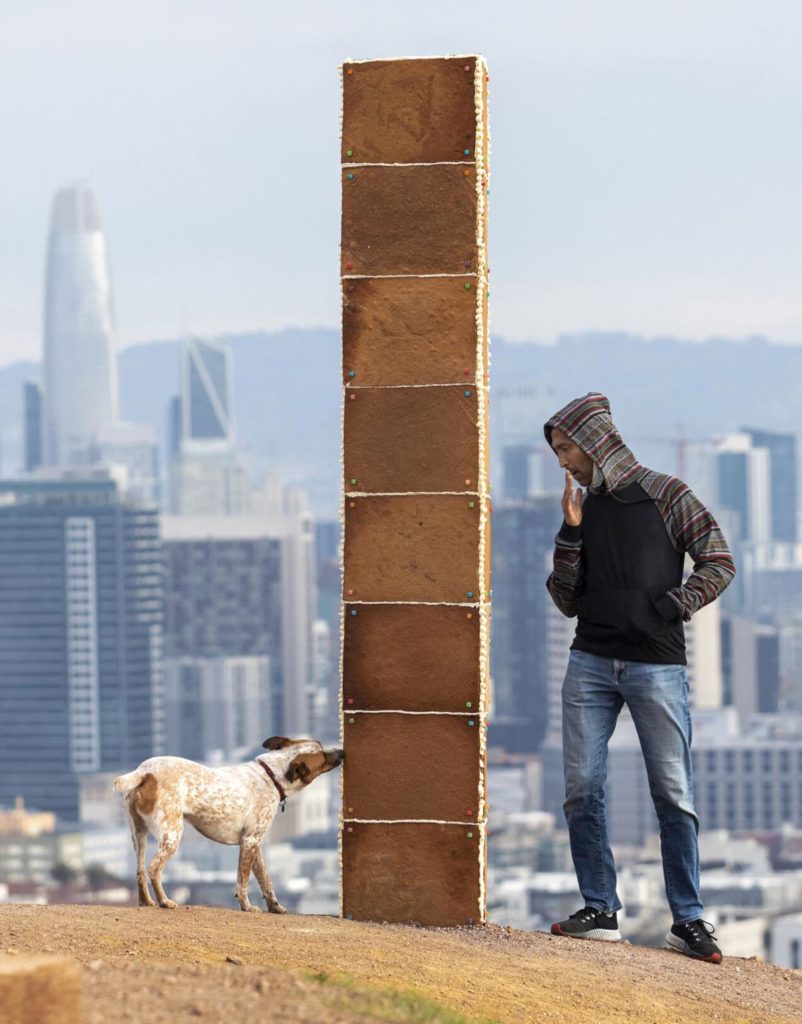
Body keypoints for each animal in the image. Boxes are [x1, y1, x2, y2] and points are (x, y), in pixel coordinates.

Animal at [111, 737, 344, 913]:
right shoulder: (249, 841)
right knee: (154, 868)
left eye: (320, 744)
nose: (342, 752)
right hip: (172, 834)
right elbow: (243, 881)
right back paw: (164, 901)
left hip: (138, 835)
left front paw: (275, 907)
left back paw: (146, 901)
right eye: (322, 757)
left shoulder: (255, 844)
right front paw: (247, 906)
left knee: (140, 870)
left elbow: (265, 880)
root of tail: (144, 771)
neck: (270, 776)